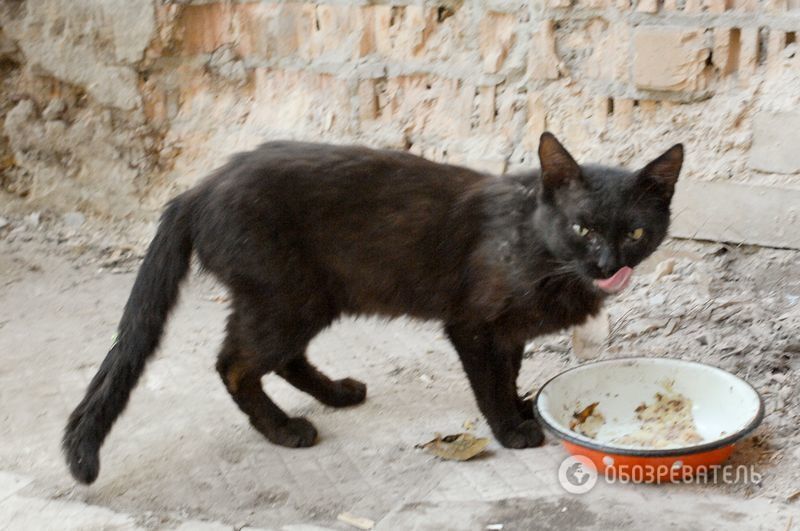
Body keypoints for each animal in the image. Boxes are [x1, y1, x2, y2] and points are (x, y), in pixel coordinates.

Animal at [62, 134, 680, 486]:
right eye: (583, 228)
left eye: (634, 232)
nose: (608, 264)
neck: (541, 248)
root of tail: (196, 190)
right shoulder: (473, 325)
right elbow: (490, 382)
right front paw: (511, 428)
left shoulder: (511, 332)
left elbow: (510, 372)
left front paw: (525, 406)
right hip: (285, 297)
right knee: (235, 364)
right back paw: (285, 430)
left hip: (304, 297)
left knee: (278, 358)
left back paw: (336, 393)